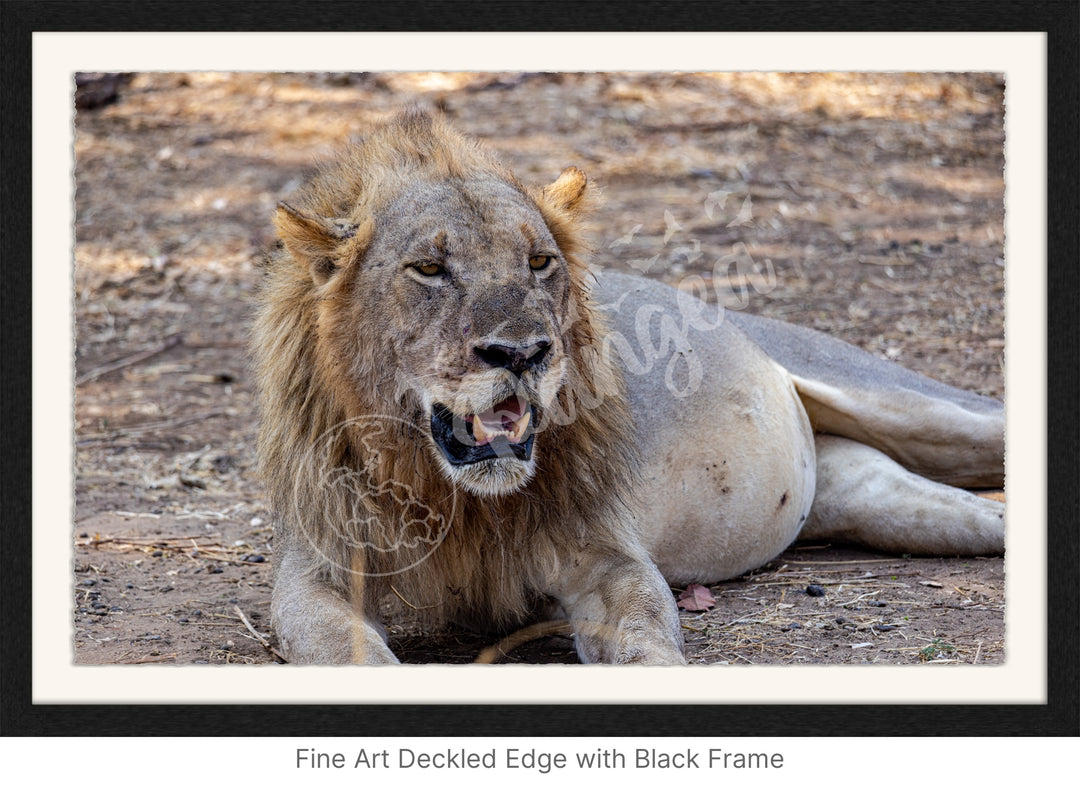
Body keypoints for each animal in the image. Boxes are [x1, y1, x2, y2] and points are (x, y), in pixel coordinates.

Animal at [252, 109, 1002, 665]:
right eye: (429, 268)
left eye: (539, 261)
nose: (522, 352)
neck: (456, 499)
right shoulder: (316, 572)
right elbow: (348, 650)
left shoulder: (609, 556)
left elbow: (644, 635)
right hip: (885, 501)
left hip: (914, 405)